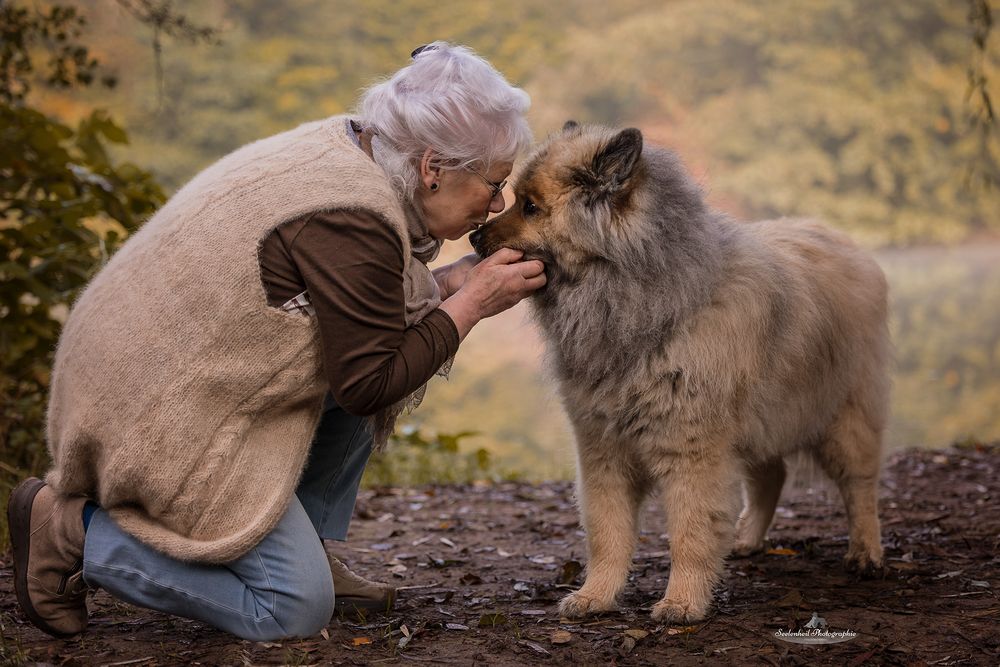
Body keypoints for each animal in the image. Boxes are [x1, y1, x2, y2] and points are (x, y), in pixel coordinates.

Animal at [468, 122, 892, 624]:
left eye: (530, 207)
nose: (473, 239)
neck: (640, 302)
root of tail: (847, 243)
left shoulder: (691, 454)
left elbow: (689, 535)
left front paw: (682, 602)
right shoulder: (604, 452)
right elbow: (608, 535)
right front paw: (597, 595)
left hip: (844, 419)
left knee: (859, 486)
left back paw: (866, 553)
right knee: (771, 477)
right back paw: (747, 539)